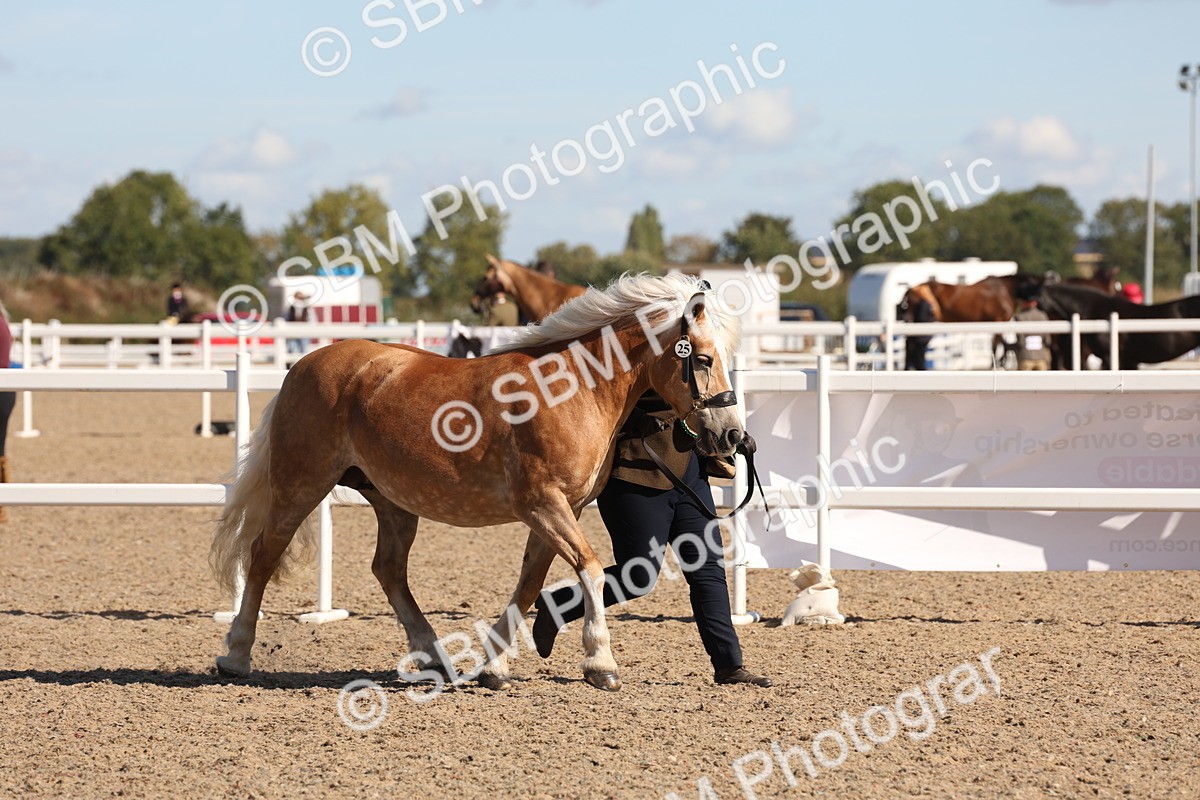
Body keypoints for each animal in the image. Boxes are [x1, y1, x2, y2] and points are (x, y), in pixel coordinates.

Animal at [210, 273, 745, 692]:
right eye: (701, 359)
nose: (733, 436)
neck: (574, 388)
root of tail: (301, 366)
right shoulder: (542, 504)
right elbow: (590, 570)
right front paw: (600, 663)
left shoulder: (560, 511)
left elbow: (529, 586)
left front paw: (495, 667)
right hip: (300, 485)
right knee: (262, 556)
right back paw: (235, 655)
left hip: (393, 501)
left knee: (389, 571)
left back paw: (435, 659)